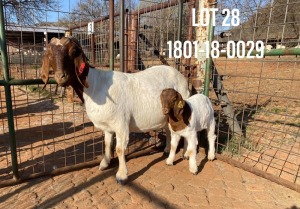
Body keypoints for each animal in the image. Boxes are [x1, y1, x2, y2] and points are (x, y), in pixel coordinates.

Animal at [40, 36, 189, 184]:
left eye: (73, 52)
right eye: (50, 54)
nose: (61, 76)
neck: (95, 86)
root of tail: (181, 76)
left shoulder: (121, 124)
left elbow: (119, 149)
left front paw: (122, 175)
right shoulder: (108, 126)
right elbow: (107, 144)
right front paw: (104, 164)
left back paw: (184, 155)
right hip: (167, 116)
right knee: (169, 132)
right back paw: (167, 150)